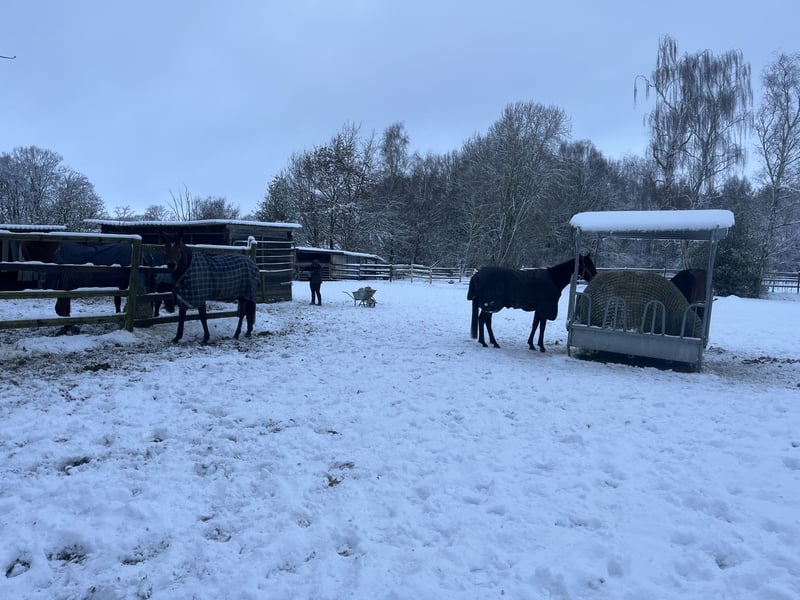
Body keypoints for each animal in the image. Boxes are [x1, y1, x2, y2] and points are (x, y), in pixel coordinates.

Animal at [468, 253, 597, 351]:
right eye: (589, 264)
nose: (595, 277)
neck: (553, 279)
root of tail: (477, 275)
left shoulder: (539, 309)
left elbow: (535, 325)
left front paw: (531, 344)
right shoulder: (544, 309)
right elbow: (542, 327)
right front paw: (541, 346)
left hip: (491, 306)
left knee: (486, 322)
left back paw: (492, 342)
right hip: (491, 305)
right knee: (482, 320)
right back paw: (484, 342)